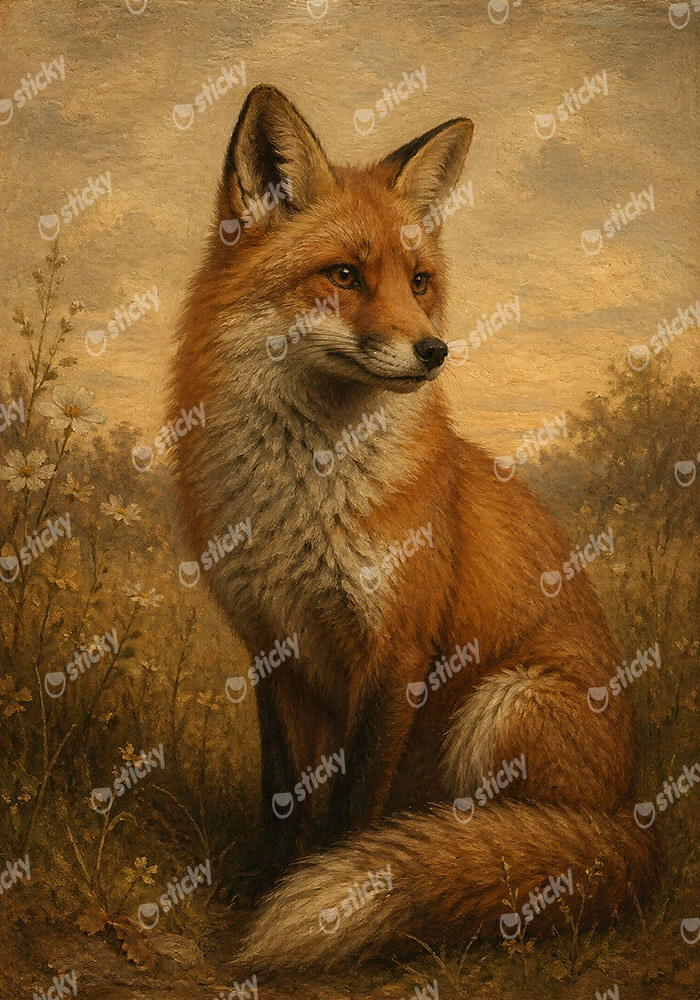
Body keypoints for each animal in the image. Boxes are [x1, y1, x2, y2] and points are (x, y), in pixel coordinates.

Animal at [169, 84, 662, 971]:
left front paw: (334, 898)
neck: (303, 498)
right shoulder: (271, 644)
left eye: (421, 281)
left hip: (503, 705)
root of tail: (634, 816)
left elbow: (354, 803)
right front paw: (266, 889)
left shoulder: (397, 649)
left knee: (514, 848)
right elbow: (284, 795)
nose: (436, 351)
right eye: (344, 275)